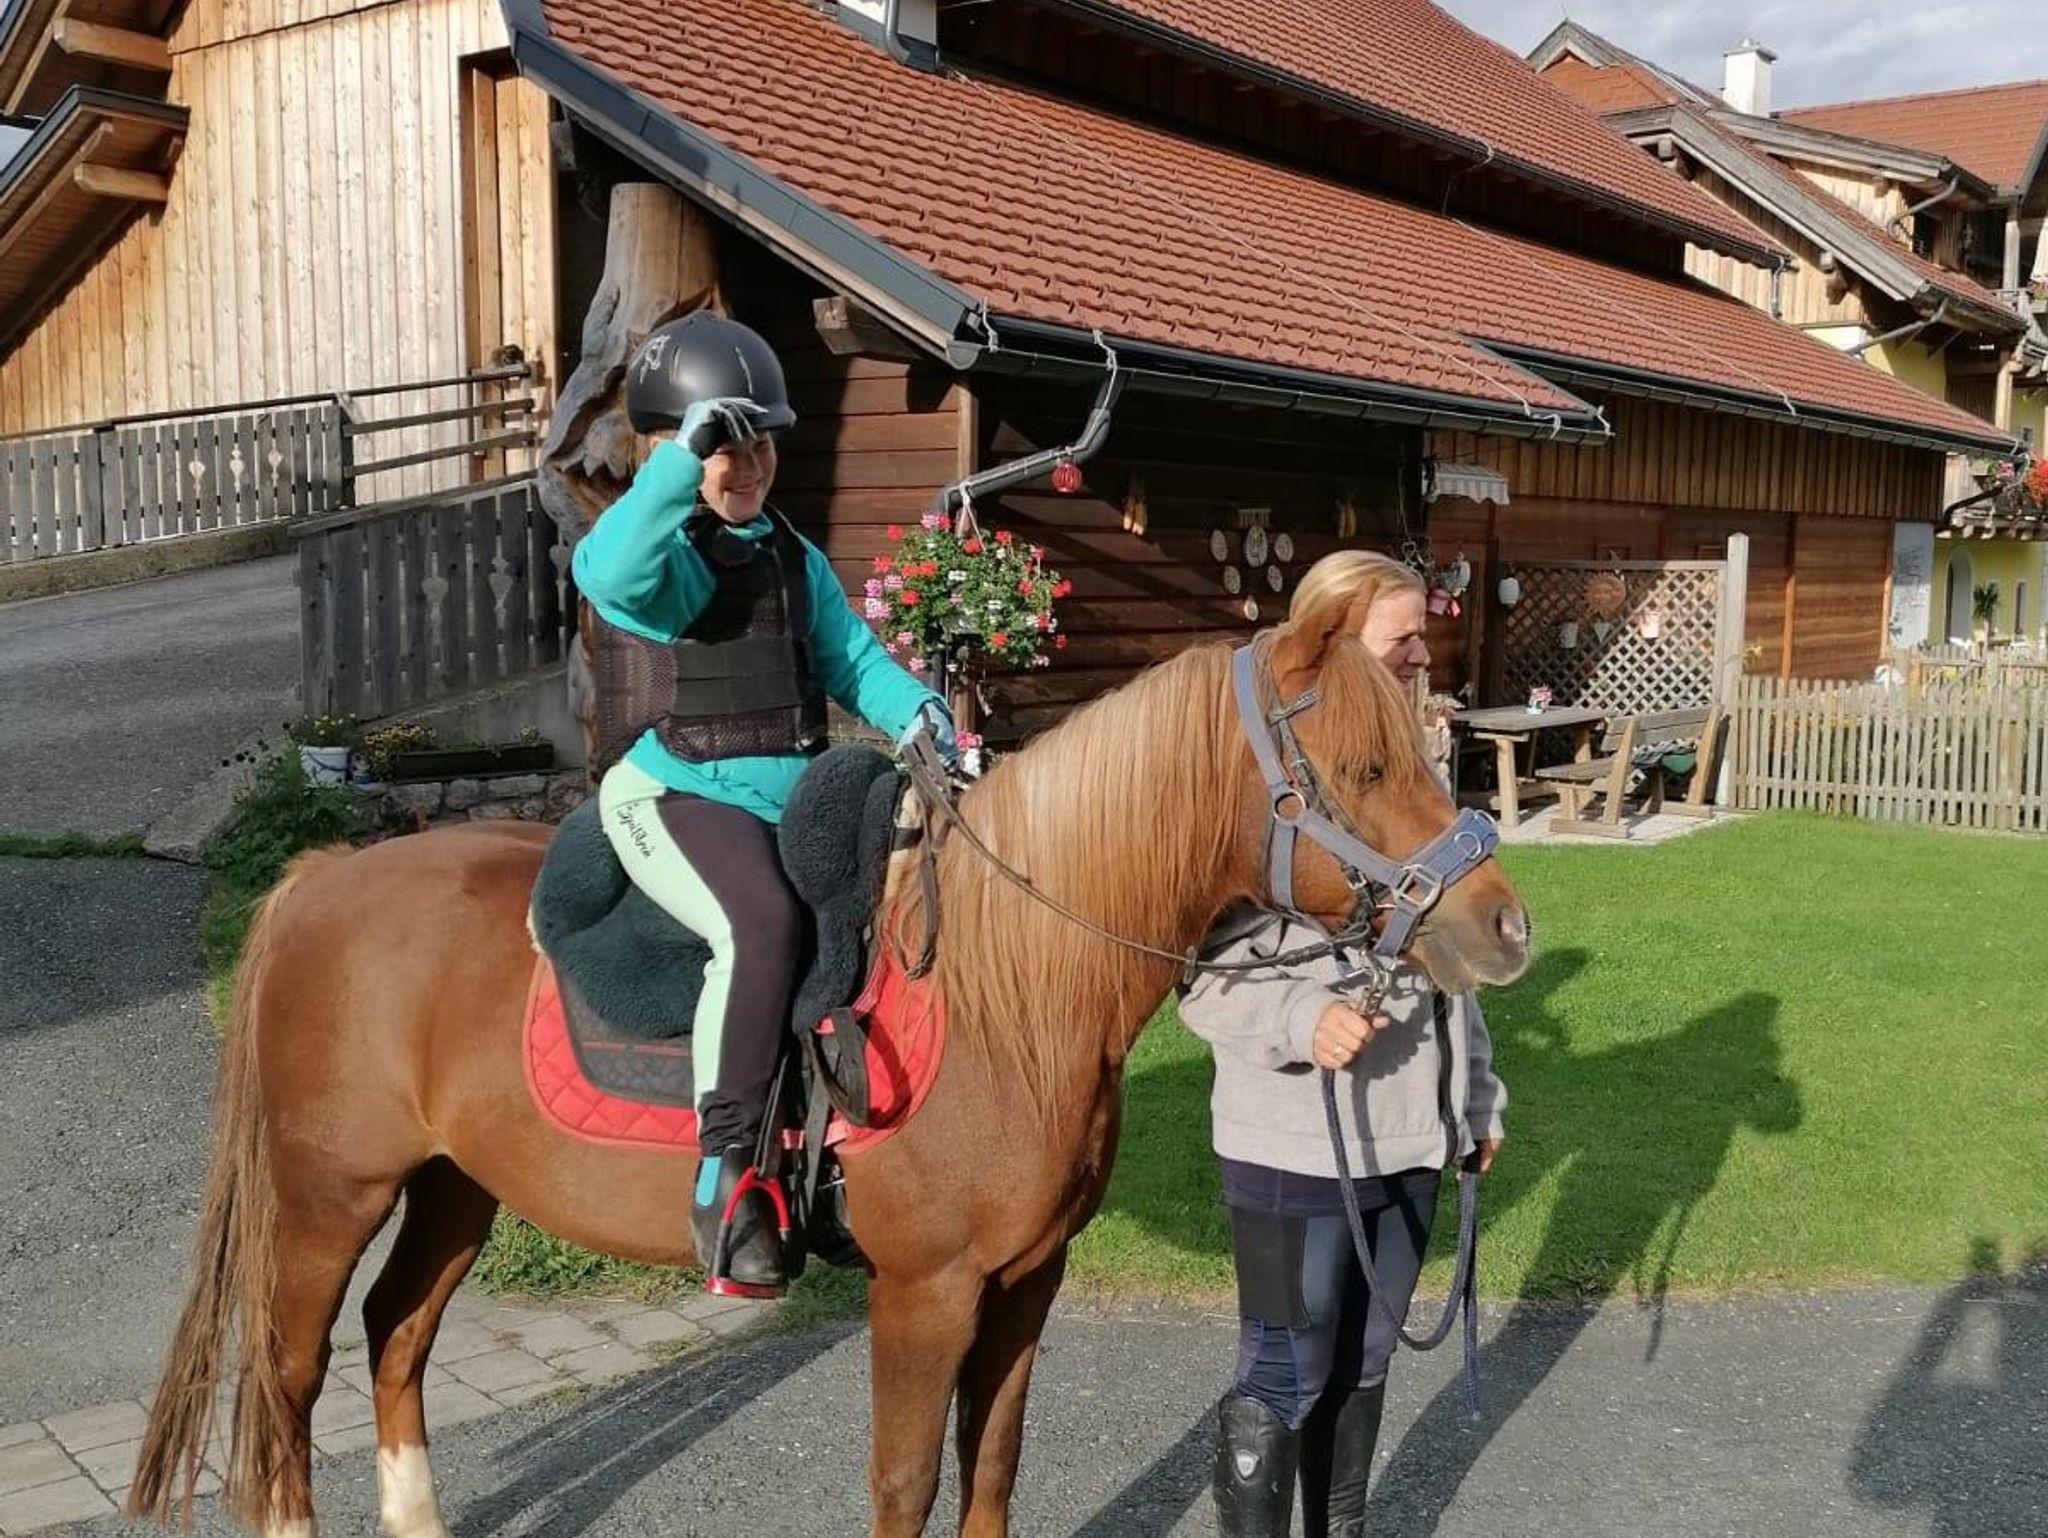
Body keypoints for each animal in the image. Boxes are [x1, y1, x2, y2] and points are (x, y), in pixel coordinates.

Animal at [127, 583, 1531, 1538]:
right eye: (1362, 764)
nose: (1503, 924)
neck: (1002, 987)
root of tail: (322, 877)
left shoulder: (1024, 1282)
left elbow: (990, 1467)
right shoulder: (923, 1293)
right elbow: (905, 1480)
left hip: (455, 1185)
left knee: (397, 1334)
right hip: (328, 1194)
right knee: (288, 1375)